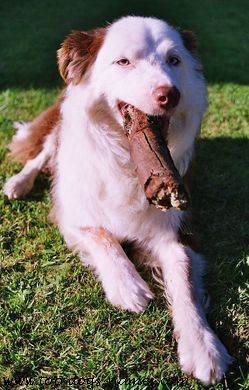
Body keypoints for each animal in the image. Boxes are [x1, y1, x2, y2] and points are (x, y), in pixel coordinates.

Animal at [2, 16, 232, 386]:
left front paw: (203, 347)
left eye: (174, 61)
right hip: (58, 129)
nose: (170, 94)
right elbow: (102, 236)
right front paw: (129, 287)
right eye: (123, 61)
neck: (127, 158)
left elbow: (184, 281)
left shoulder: (177, 226)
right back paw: (18, 183)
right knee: (40, 155)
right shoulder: (71, 211)